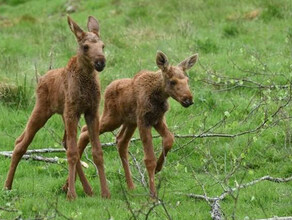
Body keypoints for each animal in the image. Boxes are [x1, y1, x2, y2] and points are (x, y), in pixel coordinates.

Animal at [75, 51, 198, 198]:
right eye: (173, 81)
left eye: (187, 80)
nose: (188, 99)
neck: (159, 96)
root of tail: (108, 88)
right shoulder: (143, 120)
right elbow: (149, 159)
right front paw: (153, 195)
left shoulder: (157, 119)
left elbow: (169, 139)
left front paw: (158, 167)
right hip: (113, 118)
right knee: (84, 131)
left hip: (129, 122)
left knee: (120, 141)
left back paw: (130, 186)